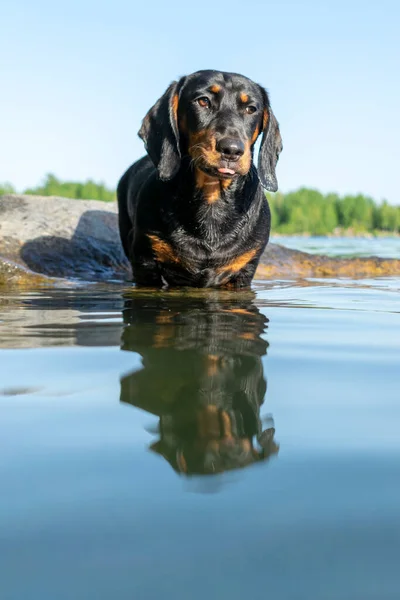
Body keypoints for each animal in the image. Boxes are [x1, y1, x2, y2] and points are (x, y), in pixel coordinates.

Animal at [117, 68, 282, 288]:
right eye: (203, 101)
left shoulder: (245, 270)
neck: (212, 199)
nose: (232, 150)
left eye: (251, 109)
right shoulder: (145, 260)